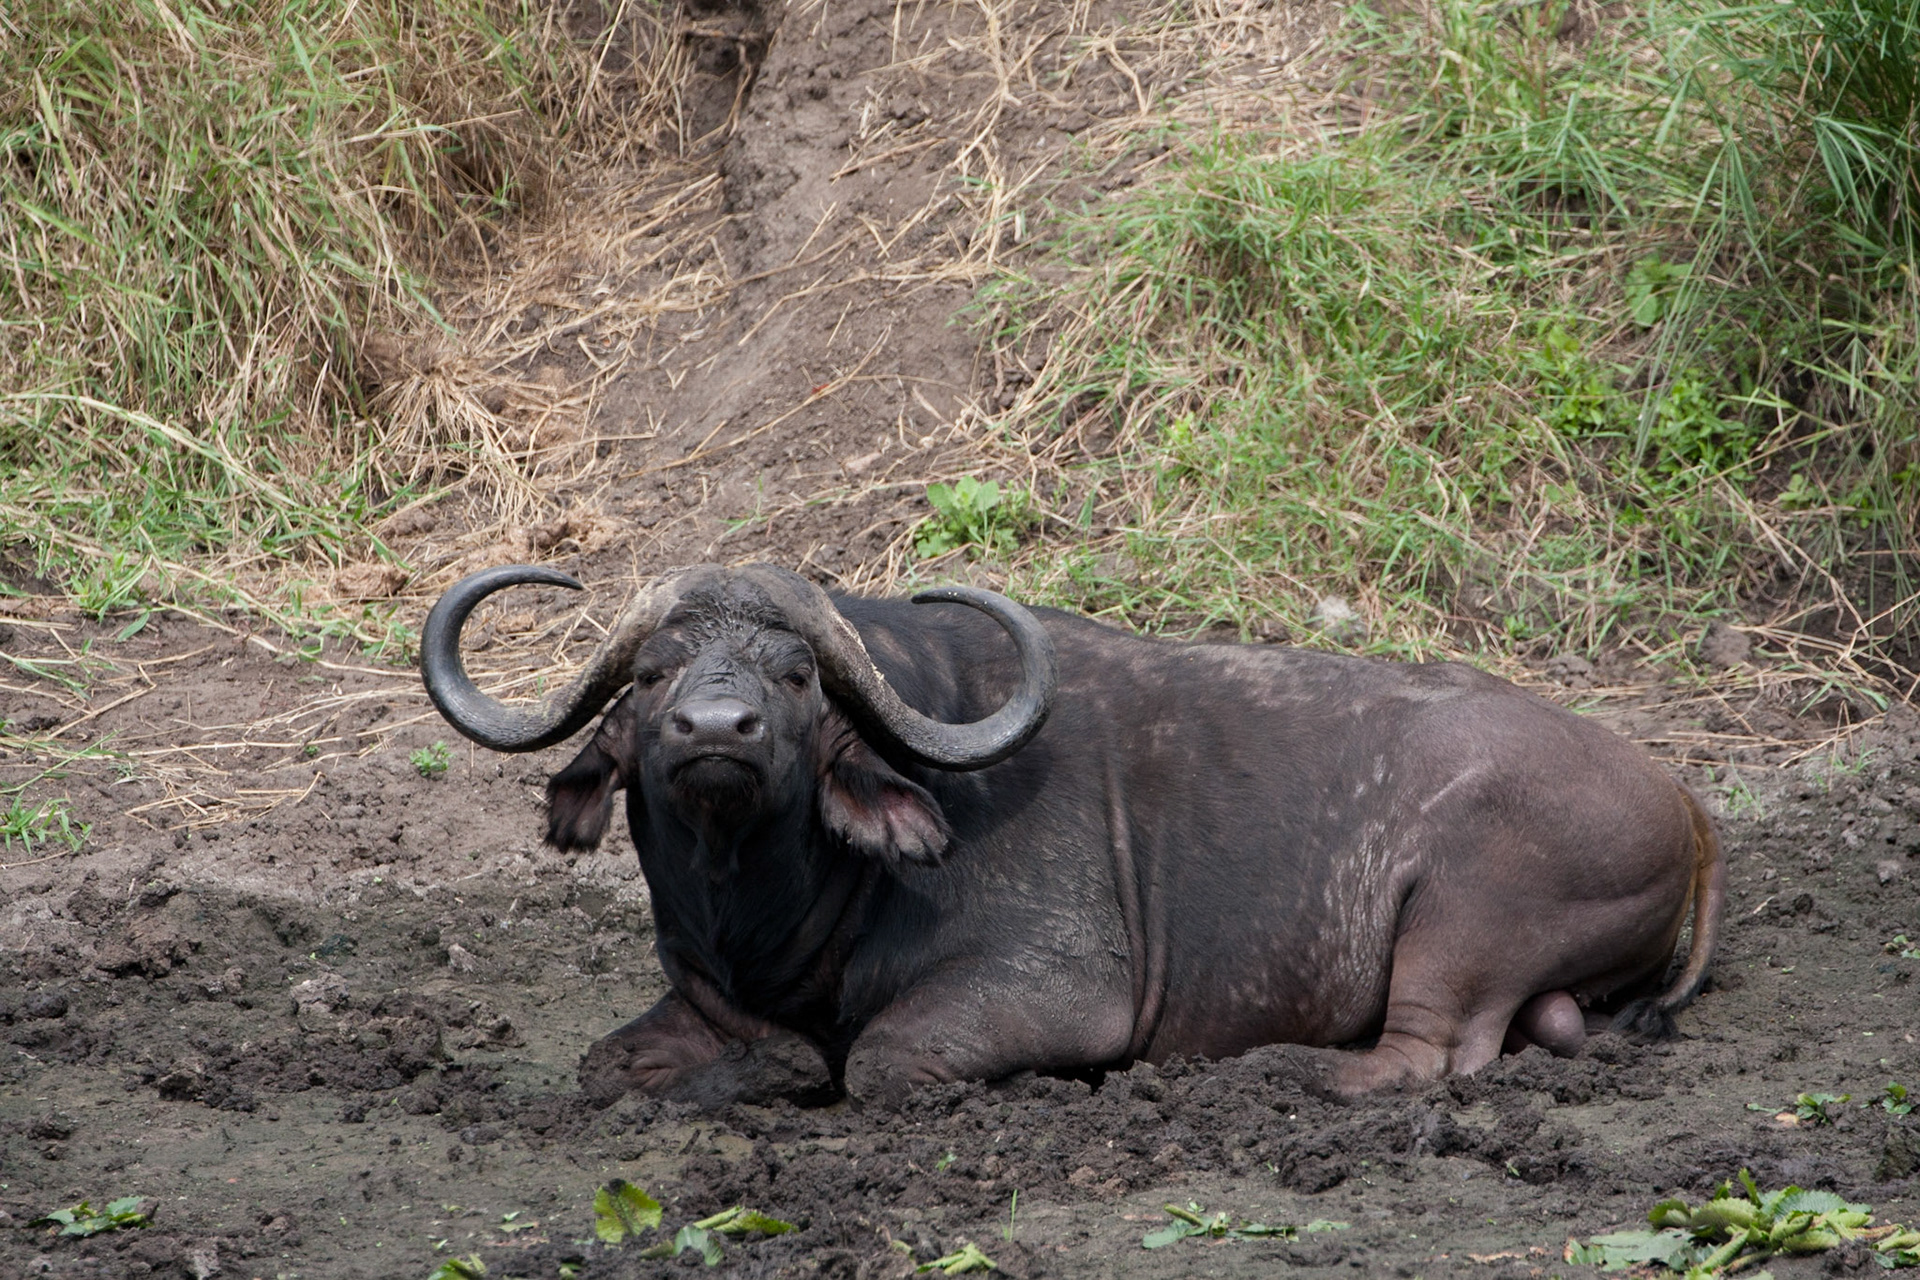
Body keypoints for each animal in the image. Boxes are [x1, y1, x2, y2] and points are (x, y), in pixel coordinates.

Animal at [419, 562, 1723, 1109]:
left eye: (795, 673)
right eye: (651, 676)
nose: (713, 730)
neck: (772, 911)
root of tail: (1685, 797)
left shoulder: (1056, 988)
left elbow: (871, 1058)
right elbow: (605, 1065)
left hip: (1459, 919)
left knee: (1428, 1053)